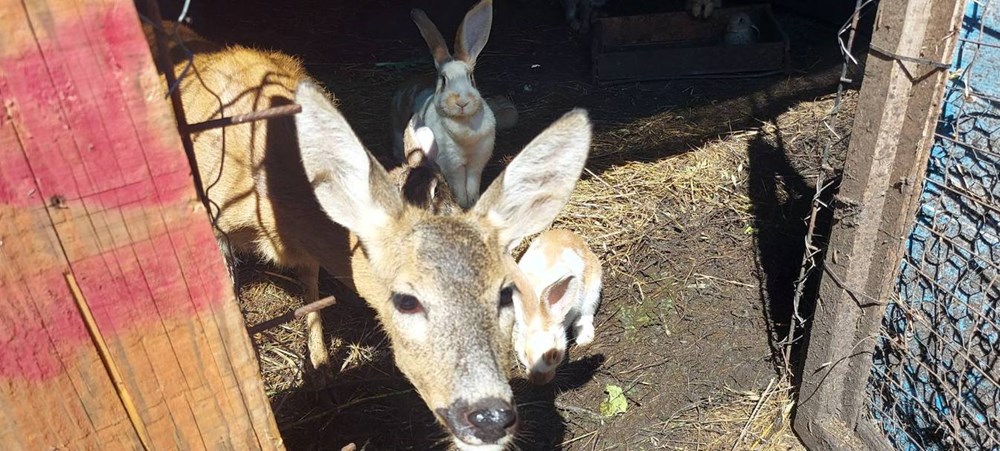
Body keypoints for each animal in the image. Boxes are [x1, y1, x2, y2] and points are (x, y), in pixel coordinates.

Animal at [392, 0, 498, 210]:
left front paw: (472, 202)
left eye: (470, 78)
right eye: (443, 79)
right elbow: (458, 187)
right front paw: (463, 203)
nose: (462, 102)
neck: (465, 126)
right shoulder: (452, 165)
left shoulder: (477, 161)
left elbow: (472, 184)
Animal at [512, 230, 596, 384]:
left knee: (586, 314)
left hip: (593, 290)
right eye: (525, 354)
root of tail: (567, 233)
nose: (540, 381)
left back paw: (584, 338)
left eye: (554, 355)